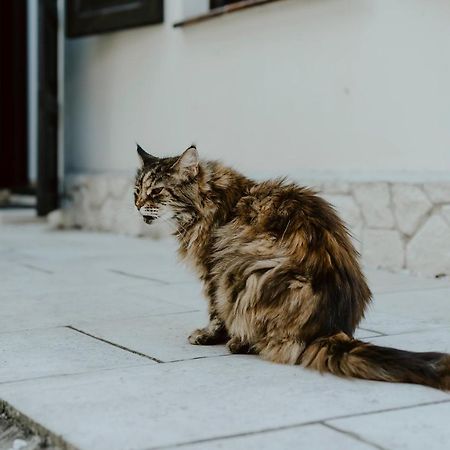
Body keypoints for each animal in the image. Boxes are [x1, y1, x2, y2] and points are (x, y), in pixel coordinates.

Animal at [134, 144, 450, 390]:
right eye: (137, 190)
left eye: (157, 192)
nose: (137, 205)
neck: (213, 197)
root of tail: (328, 327)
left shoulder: (212, 270)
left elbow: (215, 312)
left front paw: (208, 336)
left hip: (244, 271)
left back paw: (240, 343)